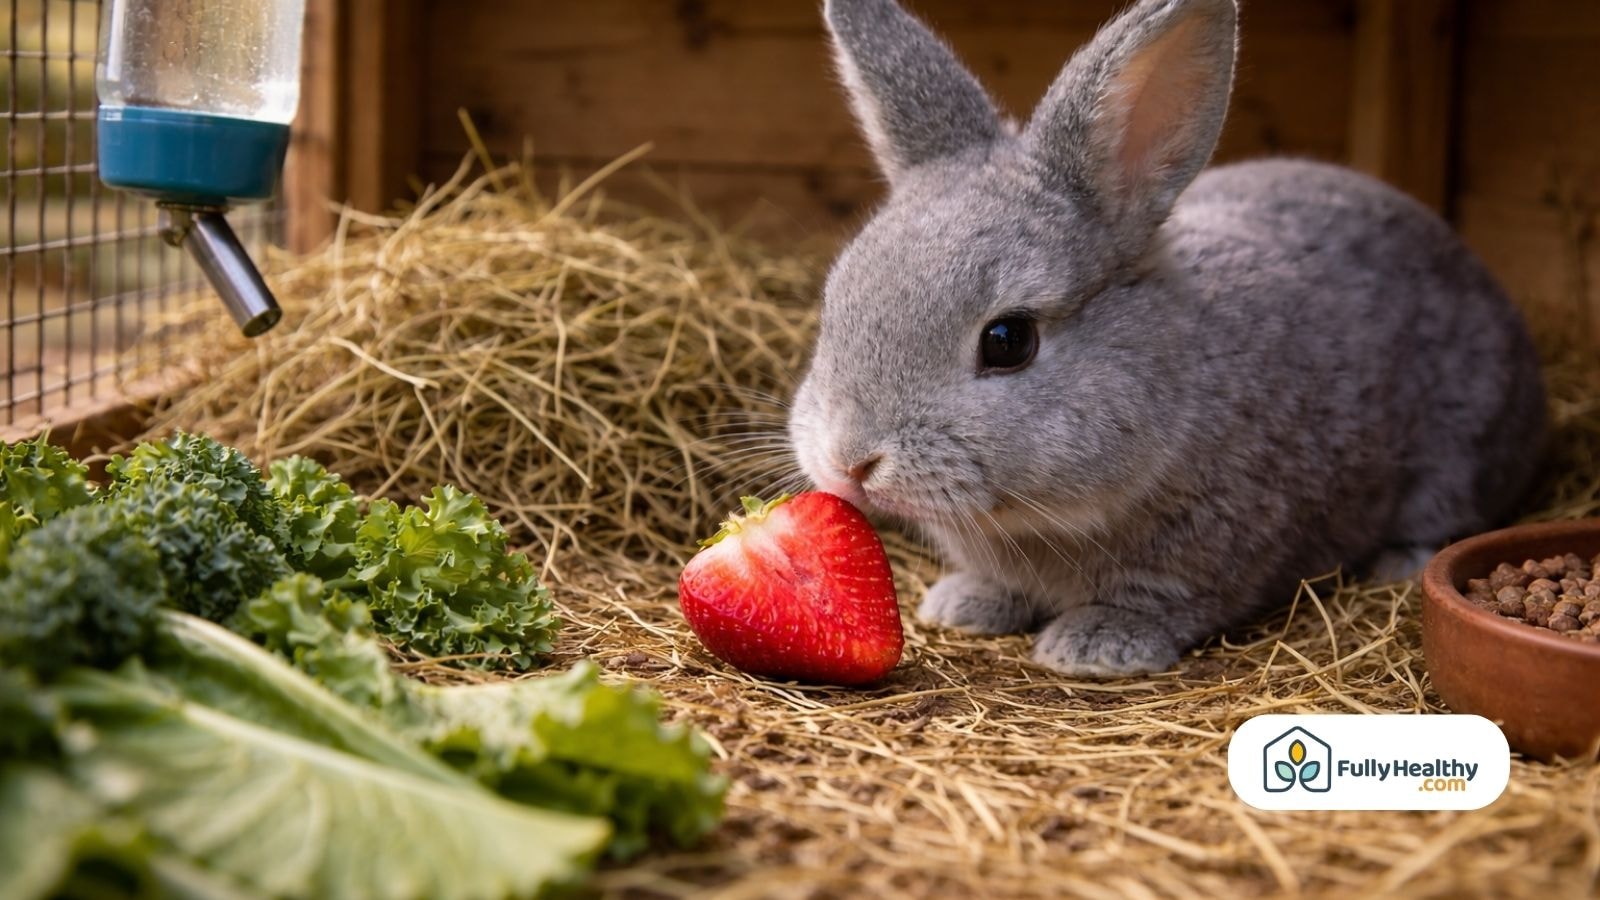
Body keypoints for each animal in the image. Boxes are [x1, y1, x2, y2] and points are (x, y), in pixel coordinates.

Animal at [786, 0, 1547, 676]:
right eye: (836, 299)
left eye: (1007, 340)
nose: (852, 460)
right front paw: (967, 604)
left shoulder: (1213, 549)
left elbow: (1165, 599)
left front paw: (1097, 645)